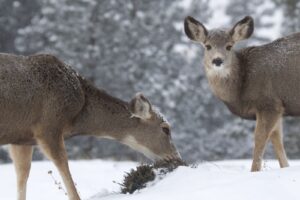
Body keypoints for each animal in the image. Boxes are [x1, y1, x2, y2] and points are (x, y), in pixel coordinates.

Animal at [0, 53, 180, 200]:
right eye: (166, 129)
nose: (176, 157)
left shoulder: (21, 138)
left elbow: (22, 175)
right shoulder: (48, 126)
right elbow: (64, 168)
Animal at [184, 15, 300, 172]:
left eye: (229, 46)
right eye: (208, 46)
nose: (217, 60)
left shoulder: (269, 103)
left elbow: (260, 139)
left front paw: (254, 171)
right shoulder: (279, 107)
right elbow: (277, 140)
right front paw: (285, 168)